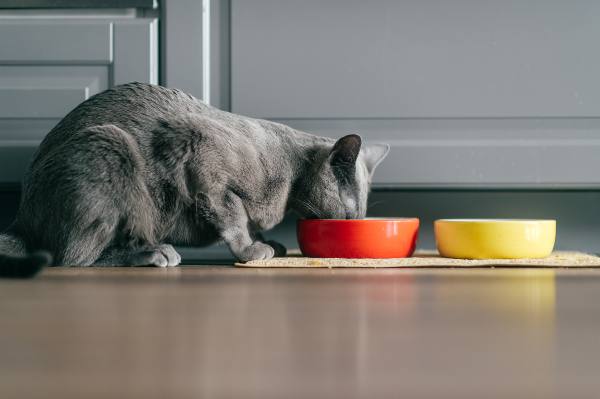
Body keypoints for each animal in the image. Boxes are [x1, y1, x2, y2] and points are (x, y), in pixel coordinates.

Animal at [0, 81, 390, 276]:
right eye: (350, 212)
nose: (353, 223)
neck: (290, 180)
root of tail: (20, 219)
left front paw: (267, 242)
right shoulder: (203, 158)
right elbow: (234, 215)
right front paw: (251, 249)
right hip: (109, 145)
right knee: (72, 256)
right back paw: (152, 253)